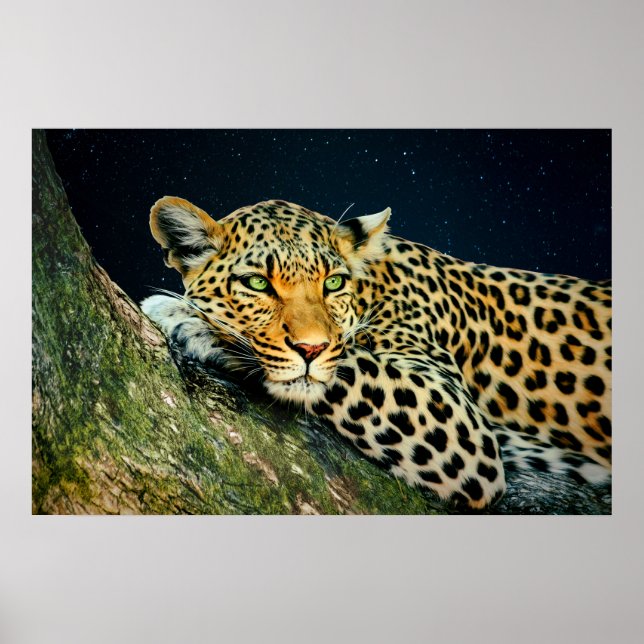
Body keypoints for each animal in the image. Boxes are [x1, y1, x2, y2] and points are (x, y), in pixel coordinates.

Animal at [140, 196, 612, 509]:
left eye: (332, 283)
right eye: (257, 283)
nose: (310, 347)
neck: (371, 288)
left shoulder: (458, 420)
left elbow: (347, 364)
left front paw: (191, 319)